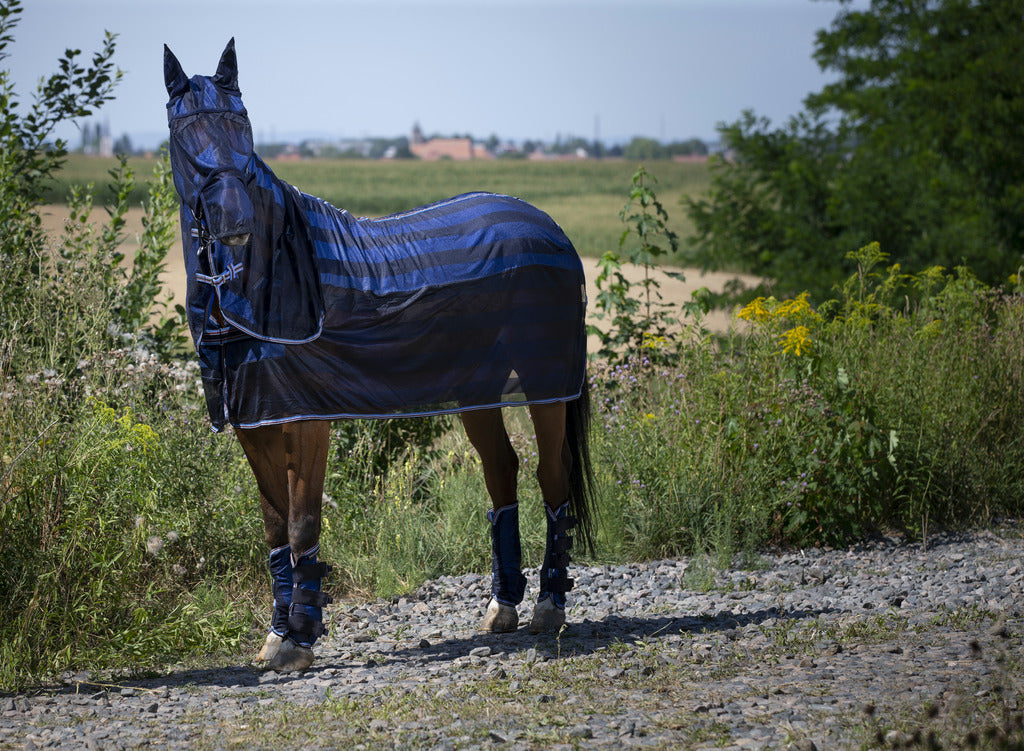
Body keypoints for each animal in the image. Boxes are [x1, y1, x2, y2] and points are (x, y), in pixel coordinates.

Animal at [162, 39, 598, 672]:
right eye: (185, 132)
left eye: (241, 124)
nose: (234, 220)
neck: (270, 284)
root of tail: (551, 228)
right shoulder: (255, 424)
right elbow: (274, 529)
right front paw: (276, 634)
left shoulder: (307, 420)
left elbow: (302, 524)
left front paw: (301, 638)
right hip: (478, 389)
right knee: (502, 471)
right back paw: (502, 607)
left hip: (546, 383)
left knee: (552, 476)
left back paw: (549, 606)